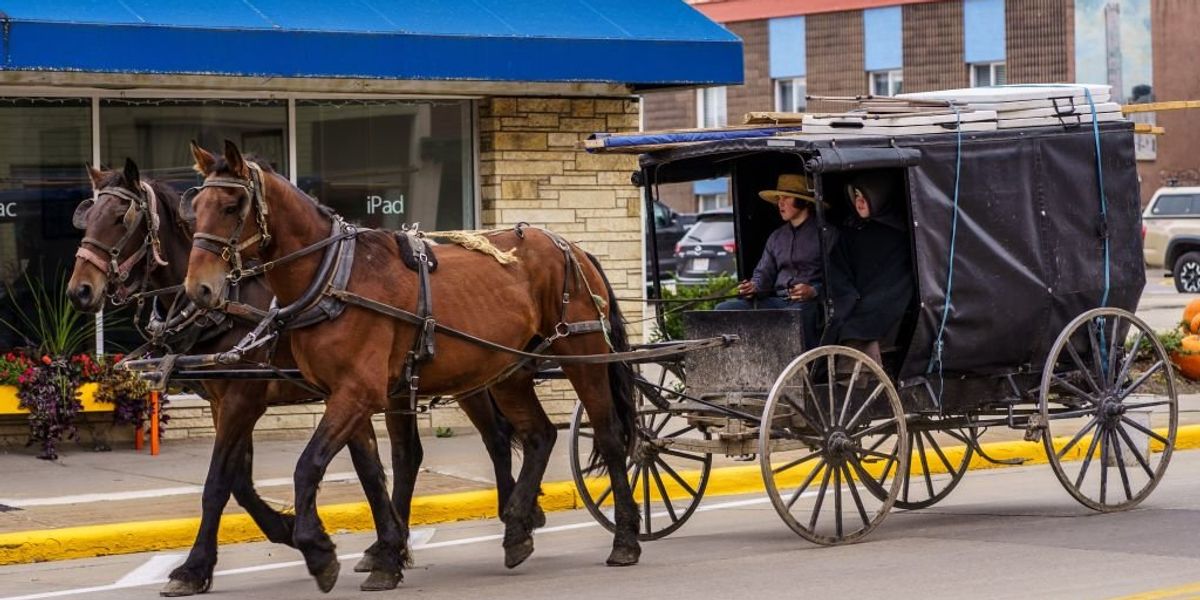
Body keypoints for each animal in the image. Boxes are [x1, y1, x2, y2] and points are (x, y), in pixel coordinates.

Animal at [66, 159, 540, 595]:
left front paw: (196, 567)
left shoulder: (244, 398)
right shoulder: (228, 401)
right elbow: (243, 481)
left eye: (120, 219)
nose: (79, 290)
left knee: (496, 439)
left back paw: (517, 518)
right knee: (413, 456)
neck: (230, 302)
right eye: (86, 216)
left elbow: (220, 482)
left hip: (470, 375)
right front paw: (290, 531)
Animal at [181, 140, 640, 593]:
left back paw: (625, 539)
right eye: (195, 209)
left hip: (583, 355)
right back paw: (515, 528)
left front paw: (317, 549)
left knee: (609, 436)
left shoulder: (350, 393)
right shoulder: (343, 395)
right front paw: (385, 553)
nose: (198, 289)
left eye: (231, 206)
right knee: (539, 435)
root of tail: (573, 248)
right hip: (507, 372)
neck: (333, 278)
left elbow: (305, 466)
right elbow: (369, 473)